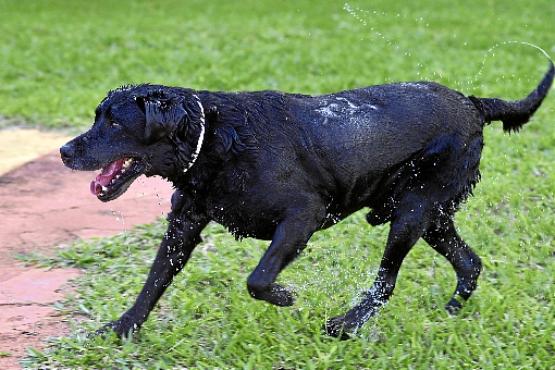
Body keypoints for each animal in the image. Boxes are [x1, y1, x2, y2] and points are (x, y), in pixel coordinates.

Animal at [58, 62, 552, 338]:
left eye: (114, 123)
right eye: (97, 116)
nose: (64, 151)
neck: (215, 137)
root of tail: (474, 103)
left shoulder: (304, 215)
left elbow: (257, 278)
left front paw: (284, 296)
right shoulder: (184, 225)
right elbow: (153, 282)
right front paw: (121, 328)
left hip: (412, 213)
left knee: (388, 280)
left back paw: (347, 326)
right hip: (430, 214)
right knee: (469, 262)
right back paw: (449, 312)